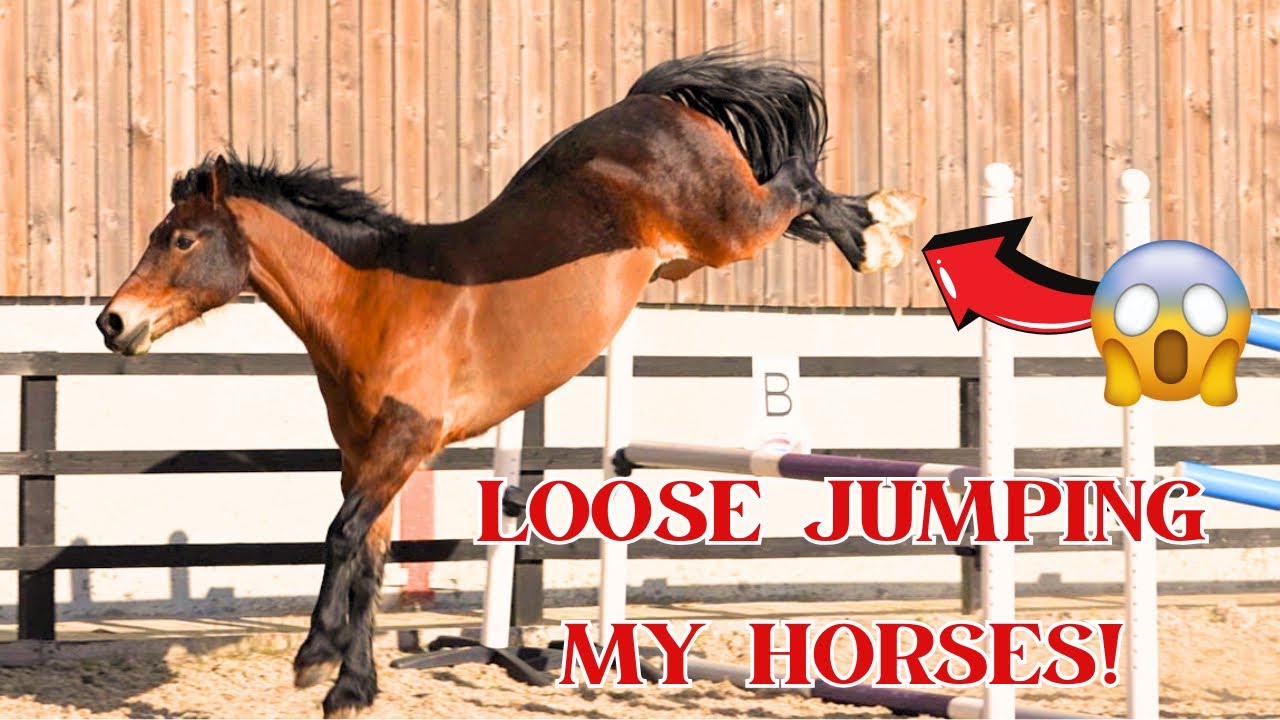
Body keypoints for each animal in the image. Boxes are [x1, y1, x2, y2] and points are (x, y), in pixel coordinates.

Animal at [96, 52, 922, 717]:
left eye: (183, 239)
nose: (112, 321)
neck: (373, 299)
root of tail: (653, 102)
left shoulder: (405, 441)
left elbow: (341, 539)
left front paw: (315, 658)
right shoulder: (366, 457)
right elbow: (368, 561)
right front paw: (352, 688)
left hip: (729, 229)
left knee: (795, 183)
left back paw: (881, 230)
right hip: (703, 248)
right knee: (808, 201)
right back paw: (873, 235)